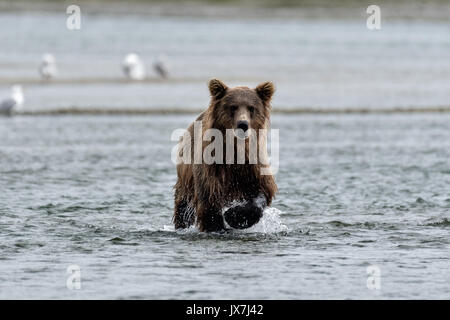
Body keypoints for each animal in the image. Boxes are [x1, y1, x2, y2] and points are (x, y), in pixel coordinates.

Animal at [173, 78, 276, 231]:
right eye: (233, 107)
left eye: (251, 107)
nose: (243, 124)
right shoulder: (212, 169)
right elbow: (209, 204)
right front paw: (219, 225)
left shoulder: (253, 166)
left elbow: (261, 191)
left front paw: (236, 216)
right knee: (183, 205)